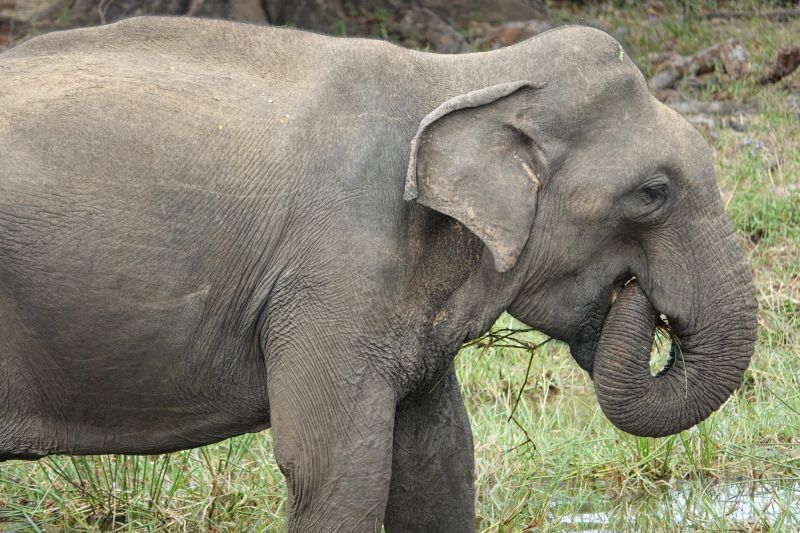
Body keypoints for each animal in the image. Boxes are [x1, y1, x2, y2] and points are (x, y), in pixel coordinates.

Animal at [0, 17, 757, 531]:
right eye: (653, 192)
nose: (637, 296)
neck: (463, 75)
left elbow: (439, 468)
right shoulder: (336, 272)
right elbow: (335, 471)